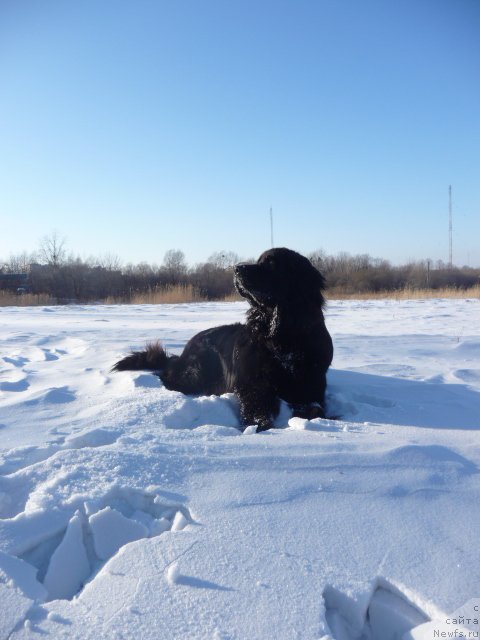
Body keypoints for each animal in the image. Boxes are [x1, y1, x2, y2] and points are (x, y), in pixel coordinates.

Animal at [111, 248, 334, 432]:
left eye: (271, 263)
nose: (237, 268)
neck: (280, 336)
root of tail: (185, 350)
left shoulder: (311, 384)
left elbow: (316, 408)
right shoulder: (251, 384)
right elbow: (257, 409)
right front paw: (261, 426)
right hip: (196, 371)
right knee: (167, 376)